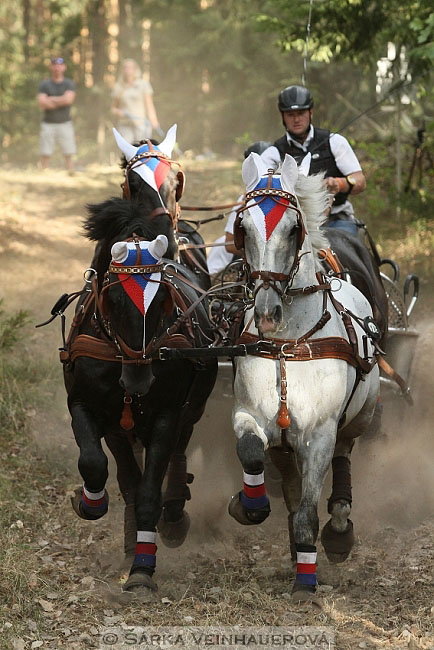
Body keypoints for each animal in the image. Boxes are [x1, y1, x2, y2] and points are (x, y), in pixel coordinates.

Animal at [62, 134, 217, 596]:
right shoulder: (87, 404)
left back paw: (174, 515)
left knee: (179, 449)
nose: (139, 376)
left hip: (192, 404)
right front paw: (91, 503)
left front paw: (144, 567)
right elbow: (97, 464)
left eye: (163, 299)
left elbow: (150, 486)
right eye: (113, 299)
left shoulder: (166, 411)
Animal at [227, 152, 380, 604]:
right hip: (284, 439)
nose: (266, 312)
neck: (288, 342)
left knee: (345, 455)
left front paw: (307, 579)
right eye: (243, 227)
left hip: (362, 414)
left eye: (293, 228)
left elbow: (309, 509)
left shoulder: (319, 433)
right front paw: (250, 506)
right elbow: (251, 452)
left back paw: (338, 531)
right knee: (287, 479)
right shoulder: (249, 413)